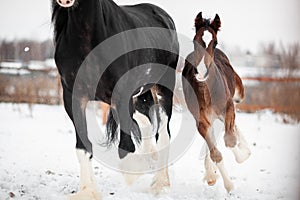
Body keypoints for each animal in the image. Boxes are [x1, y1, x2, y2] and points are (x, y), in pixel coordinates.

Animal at [51, 0, 179, 198]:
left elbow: (126, 148)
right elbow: (83, 147)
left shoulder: (122, 94)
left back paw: (160, 184)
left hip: (163, 88)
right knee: (147, 122)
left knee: (164, 133)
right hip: (141, 94)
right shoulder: (73, 97)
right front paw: (87, 191)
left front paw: (130, 184)